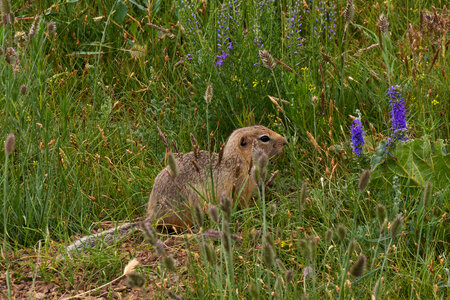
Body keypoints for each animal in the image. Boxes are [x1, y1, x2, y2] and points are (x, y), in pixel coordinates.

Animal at [63, 125, 286, 254]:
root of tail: (150, 216)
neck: (237, 159)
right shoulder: (241, 186)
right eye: (264, 138)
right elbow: (242, 203)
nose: (285, 141)